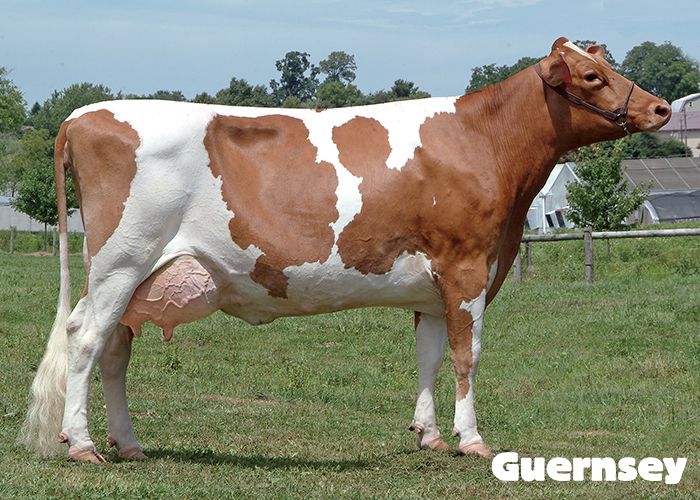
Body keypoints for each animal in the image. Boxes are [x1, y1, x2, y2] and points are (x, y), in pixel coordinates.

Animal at [20, 37, 670, 463]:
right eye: (591, 77)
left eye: (609, 64)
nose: (662, 107)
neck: (483, 141)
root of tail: (85, 112)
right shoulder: (468, 267)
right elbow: (468, 357)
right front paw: (473, 440)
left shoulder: (432, 284)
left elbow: (430, 356)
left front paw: (428, 434)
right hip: (119, 261)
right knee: (85, 339)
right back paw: (81, 446)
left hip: (138, 276)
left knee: (115, 351)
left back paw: (128, 445)